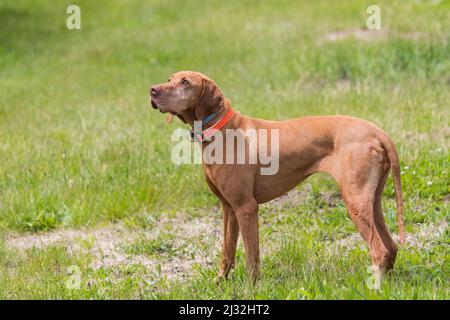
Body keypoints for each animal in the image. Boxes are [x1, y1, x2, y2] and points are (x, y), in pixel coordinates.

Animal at [150, 71, 404, 282]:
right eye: (170, 78)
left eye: (185, 82)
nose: (152, 90)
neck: (222, 130)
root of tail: (377, 131)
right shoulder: (228, 208)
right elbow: (227, 251)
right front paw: (220, 283)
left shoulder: (246, 207)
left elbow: (251, 256)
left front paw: (251, 289)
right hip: (371, 201)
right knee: (391, 247)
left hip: (355, 202)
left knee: (379, 250)